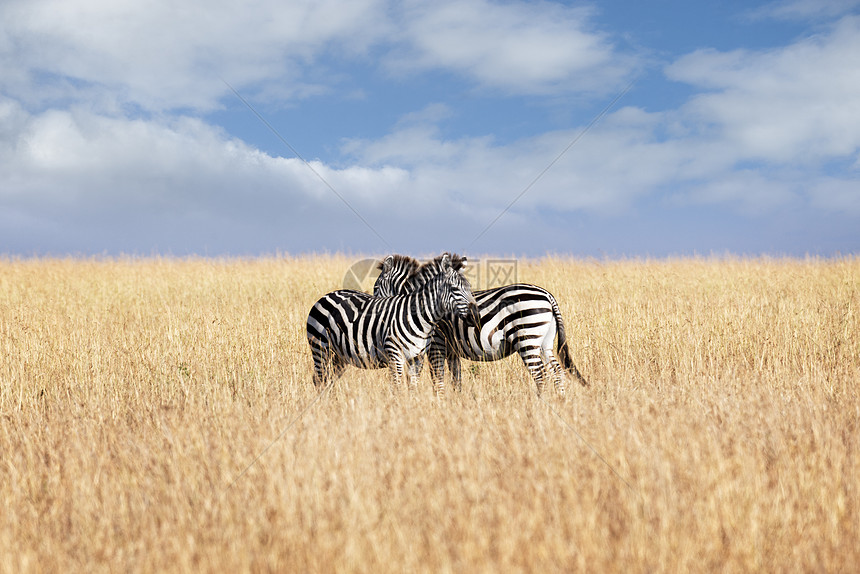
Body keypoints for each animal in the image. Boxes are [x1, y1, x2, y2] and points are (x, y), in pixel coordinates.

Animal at [306, 254, 478, 394]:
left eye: (470, 288)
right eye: (455, 289)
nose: (475, 316)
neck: (419, 318)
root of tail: (328, 294)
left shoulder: (417, 357)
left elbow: (413, 387)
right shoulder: (395, 353)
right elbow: (396, 386)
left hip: (338, 355)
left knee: (328, 380)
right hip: (320, 347)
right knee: (319, 379)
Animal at [372, 254, 588, 398]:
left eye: (375, 287)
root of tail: (548, 295)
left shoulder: (436, 345)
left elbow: (437, 378)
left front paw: (439, 403)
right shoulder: (452, 350)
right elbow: (456, 380)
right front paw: (456, 403)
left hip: (526, 339)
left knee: (540, 374)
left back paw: (541, 404)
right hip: (545, 342)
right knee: (557, 371)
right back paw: (561, 400)